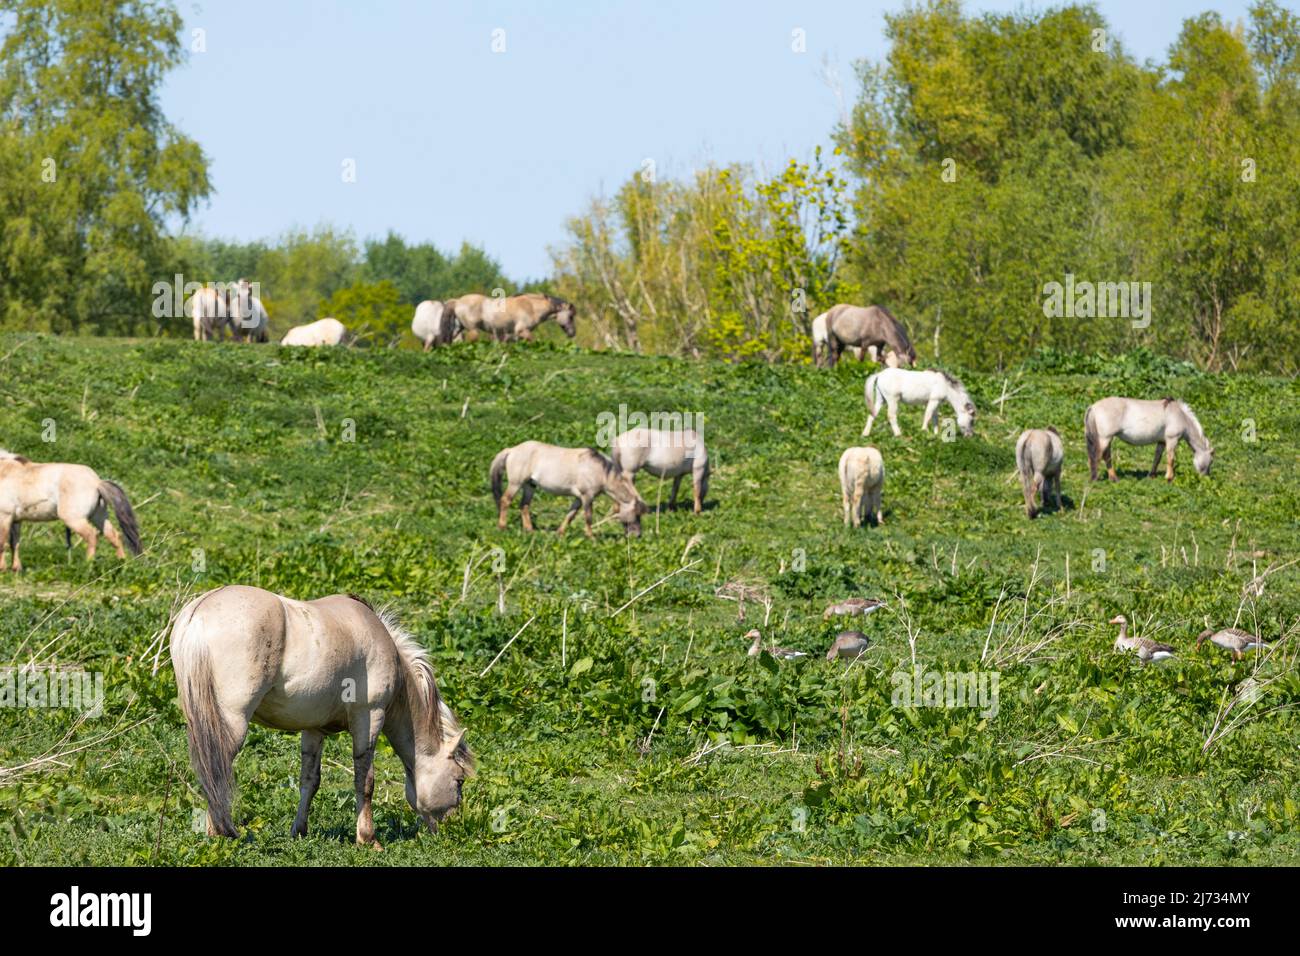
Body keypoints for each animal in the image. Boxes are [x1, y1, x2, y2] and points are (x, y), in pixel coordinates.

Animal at [0, 450, 141, 571]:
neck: (4, 472)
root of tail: (96, 482)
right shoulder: (15, 520)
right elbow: (15, 543)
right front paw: (16, 569)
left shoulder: (5, 517)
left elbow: (2, 543)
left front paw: (3, 569)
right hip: (98, 516)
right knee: (113, 535)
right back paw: (122, 564)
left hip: (74, 520)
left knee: (91, 535)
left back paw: (87, 566)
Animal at [170, 586, 472, 846]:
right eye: (459, 780)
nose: (450, 830)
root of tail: (199, 613)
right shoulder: (369, 717)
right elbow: (365, 780)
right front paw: (368, 838)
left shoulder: (314, 730)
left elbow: (310, 781)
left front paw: (299, 830)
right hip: (231, 725)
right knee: (216, 770)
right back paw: (222, 832)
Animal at [490, 441, 647, 537]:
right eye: (636, 515)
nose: (638, 535)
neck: (601, 471)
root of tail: (512, 450)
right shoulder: (587, 496)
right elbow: (588, 516)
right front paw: (591, 537)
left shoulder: (579, 498)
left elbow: (570, 515)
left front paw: (559, 533)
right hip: (515, 484)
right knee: (505, 501)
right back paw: (502, 527)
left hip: (530, 485)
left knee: (524, 505)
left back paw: (530, 530)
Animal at [1084, 397, 1213, 482]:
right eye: (1211, 461)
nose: (1206, 477)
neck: (1180, 415)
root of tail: (1093, 407)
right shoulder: (1172, 440)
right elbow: (1170, 459)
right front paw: (1169, 478)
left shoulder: (1161, 441)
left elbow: (1157, 458)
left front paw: (1152, 475)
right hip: (1104, 439)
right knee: (1097, 456)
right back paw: (1095, 478)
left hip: (1107, 439)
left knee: (1106, 456)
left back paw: (1114, 478)